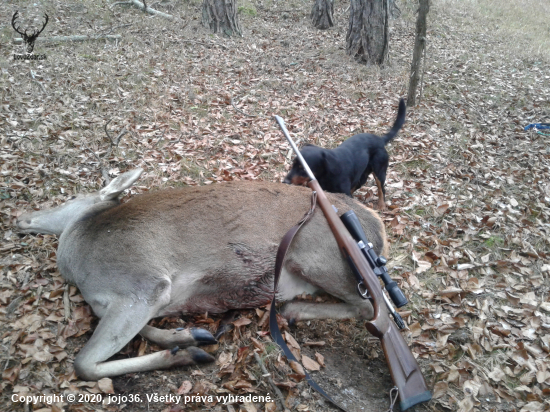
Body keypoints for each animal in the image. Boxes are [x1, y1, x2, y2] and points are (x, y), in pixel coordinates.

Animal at [16, 168, 388, 380]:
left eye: (72, 197)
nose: (21, 218)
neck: (81, 271)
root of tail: (377, 225)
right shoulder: (131, 300)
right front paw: (187, 337)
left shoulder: (144, 284)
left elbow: (83, 364)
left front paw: (186, 354)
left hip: (317, 256)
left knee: (371, 305)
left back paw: (293, 310)